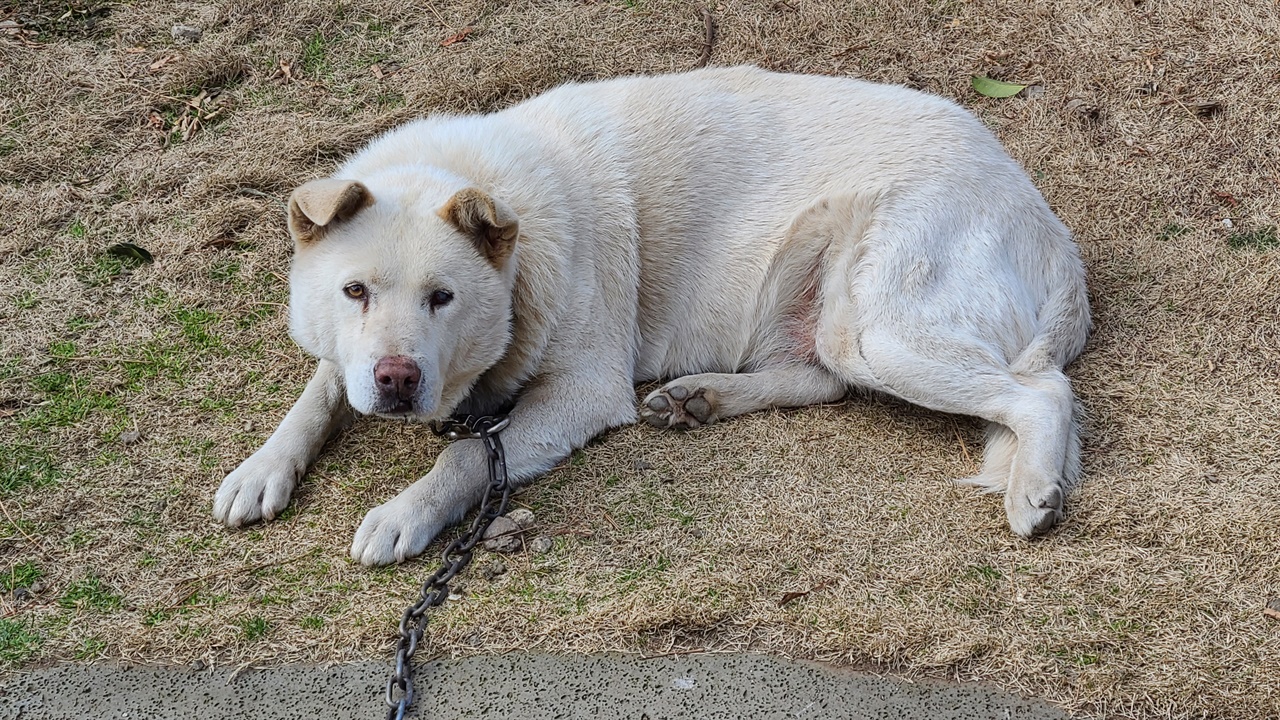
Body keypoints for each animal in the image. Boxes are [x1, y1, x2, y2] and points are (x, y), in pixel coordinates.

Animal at [212, 64, 1090, 563]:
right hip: (833, 322)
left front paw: (403, 514)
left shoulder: (583, 392)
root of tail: (1050, 228)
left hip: (877, 330)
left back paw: (1034, 492)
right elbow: (321, 387)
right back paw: (699, 398)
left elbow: (463, 458)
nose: (397, 381)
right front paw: (260, 470)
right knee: (824, 381)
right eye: (354, 292)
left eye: (443, 298)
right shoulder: (349, 356)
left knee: (1042, 391)